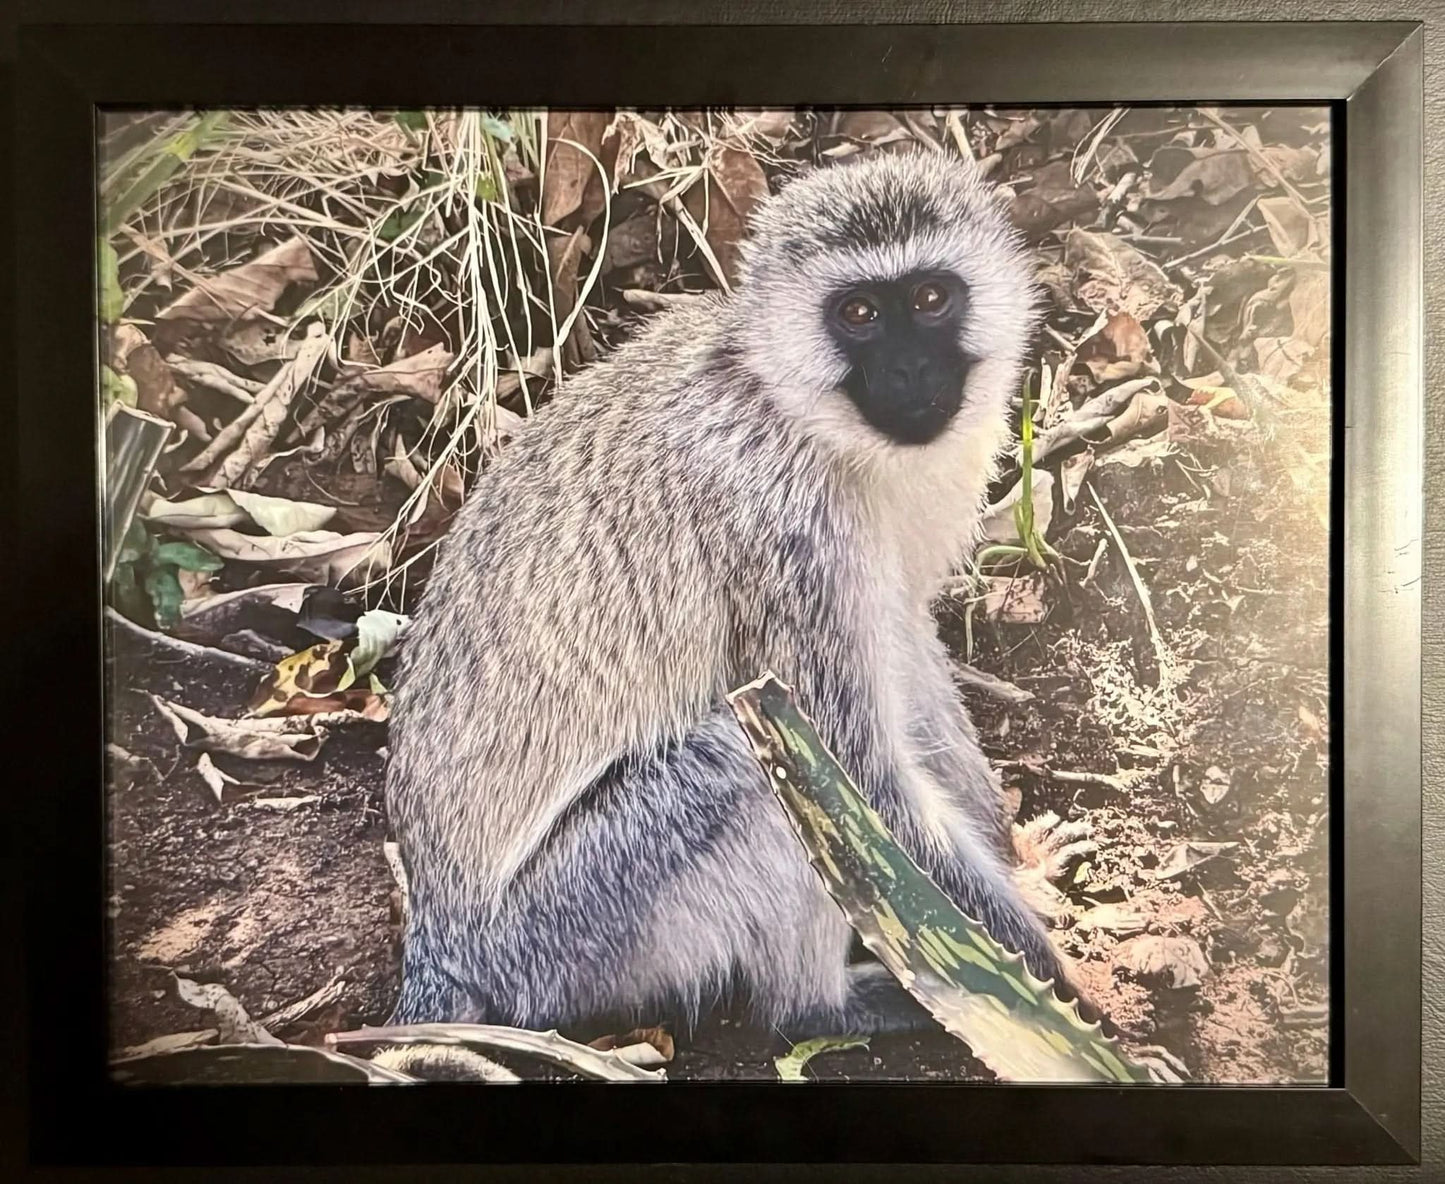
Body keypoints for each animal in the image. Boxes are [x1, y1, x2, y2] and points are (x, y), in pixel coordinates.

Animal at [384, 148, 1078, 1039]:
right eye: (857, 313)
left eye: (929, 299)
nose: (909, 372)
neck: (798, 410)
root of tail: (442, 943)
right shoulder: (785, 527)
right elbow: (860, 776)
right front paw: (1044, 984)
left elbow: (905, 654)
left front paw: (1008, 846)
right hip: (569, 928)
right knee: (755, 770)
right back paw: (821, 1004)